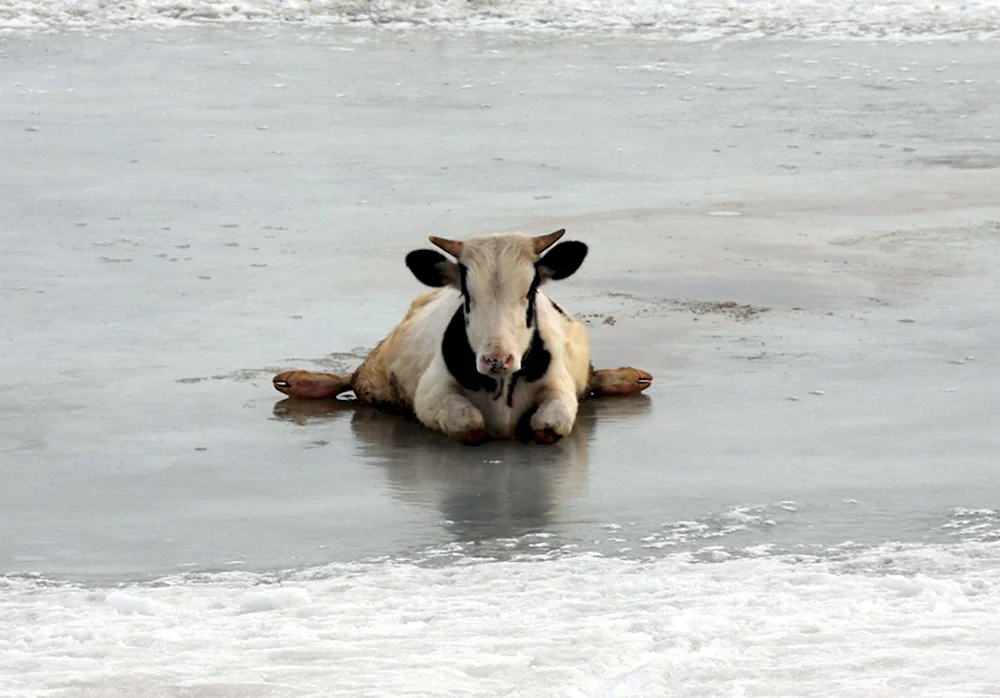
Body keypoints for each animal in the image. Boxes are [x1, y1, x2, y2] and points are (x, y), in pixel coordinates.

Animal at [274, 228, 652, 446]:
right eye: (468, 295)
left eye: (530, 291)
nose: (497, 359)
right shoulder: (430, 394)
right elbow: (468, 423)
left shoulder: (559, 387)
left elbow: (549, 425)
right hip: (375, 366)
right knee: (351, 380)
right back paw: (300, 381)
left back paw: (627, 378)